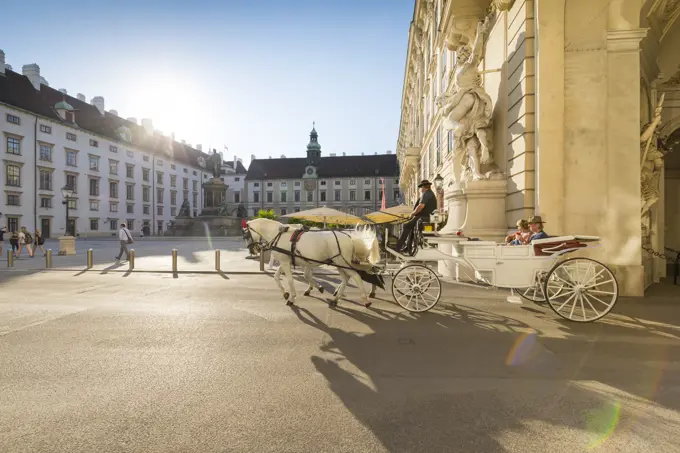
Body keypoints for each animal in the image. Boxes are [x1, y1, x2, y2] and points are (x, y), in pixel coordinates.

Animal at [246, 217, 382, 306]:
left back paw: (366, 300)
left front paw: (292, 297)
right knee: (345, 278)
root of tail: (349, 236)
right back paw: (336, 298)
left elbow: (290, 280)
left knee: (356, 276)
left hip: (342, 263)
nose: (253, 250)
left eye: (246, 234)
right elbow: (276, 276)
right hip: (339, 263)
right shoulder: (285, 261)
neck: (278, 234)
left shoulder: (285, 262)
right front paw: (285, 293)